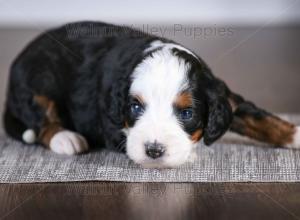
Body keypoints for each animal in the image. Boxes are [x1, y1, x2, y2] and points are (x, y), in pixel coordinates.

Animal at [3, 21, 298, 168]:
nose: (154, 150)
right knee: (41, 121)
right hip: (36, 82)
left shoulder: (225, 96)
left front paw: (294, 134)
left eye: (187, 113)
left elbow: (261, 118)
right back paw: (66, 138)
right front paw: (188, 154)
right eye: (135, 108)